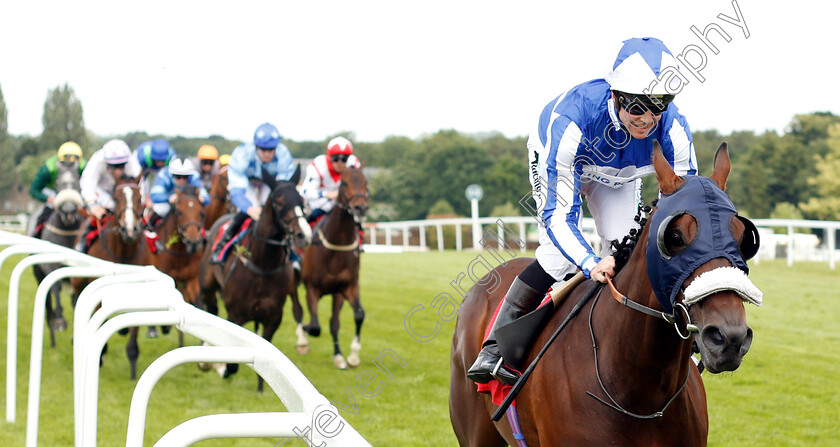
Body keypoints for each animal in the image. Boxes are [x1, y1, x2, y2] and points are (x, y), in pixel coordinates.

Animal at [30, 159, 85, 348]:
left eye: (76, 182)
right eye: (59, 183)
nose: (68, 211)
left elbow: (77, 299)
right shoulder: (51, 266)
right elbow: (56, 287)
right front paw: (60, 321)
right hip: (38, 274)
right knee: (48, 305)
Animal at [71, 178, 152, 382]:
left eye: (140, 198)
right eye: (116, 199)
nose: (129, 230)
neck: (123, 251)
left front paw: (133, 369)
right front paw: (99, 356)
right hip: (78, 281)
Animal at [197, 165, 312, 392]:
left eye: (301, 200)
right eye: (279, 202)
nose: (303, 235)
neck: (262, 266)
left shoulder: (273, 316)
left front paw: (261, 389)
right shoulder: (236, 314)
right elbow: (232, 365)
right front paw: (221, 367)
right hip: (207, 284)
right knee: (210, 307)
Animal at [300, 166, 370, 370]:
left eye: (365, 182)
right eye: (344, 183)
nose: (360, 207)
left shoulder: (347, 287)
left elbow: (357, 315)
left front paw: (351, 356)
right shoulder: (311, 287)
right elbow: (315, 326)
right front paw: (305, 330)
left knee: (334, 322)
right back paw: (302, 338)